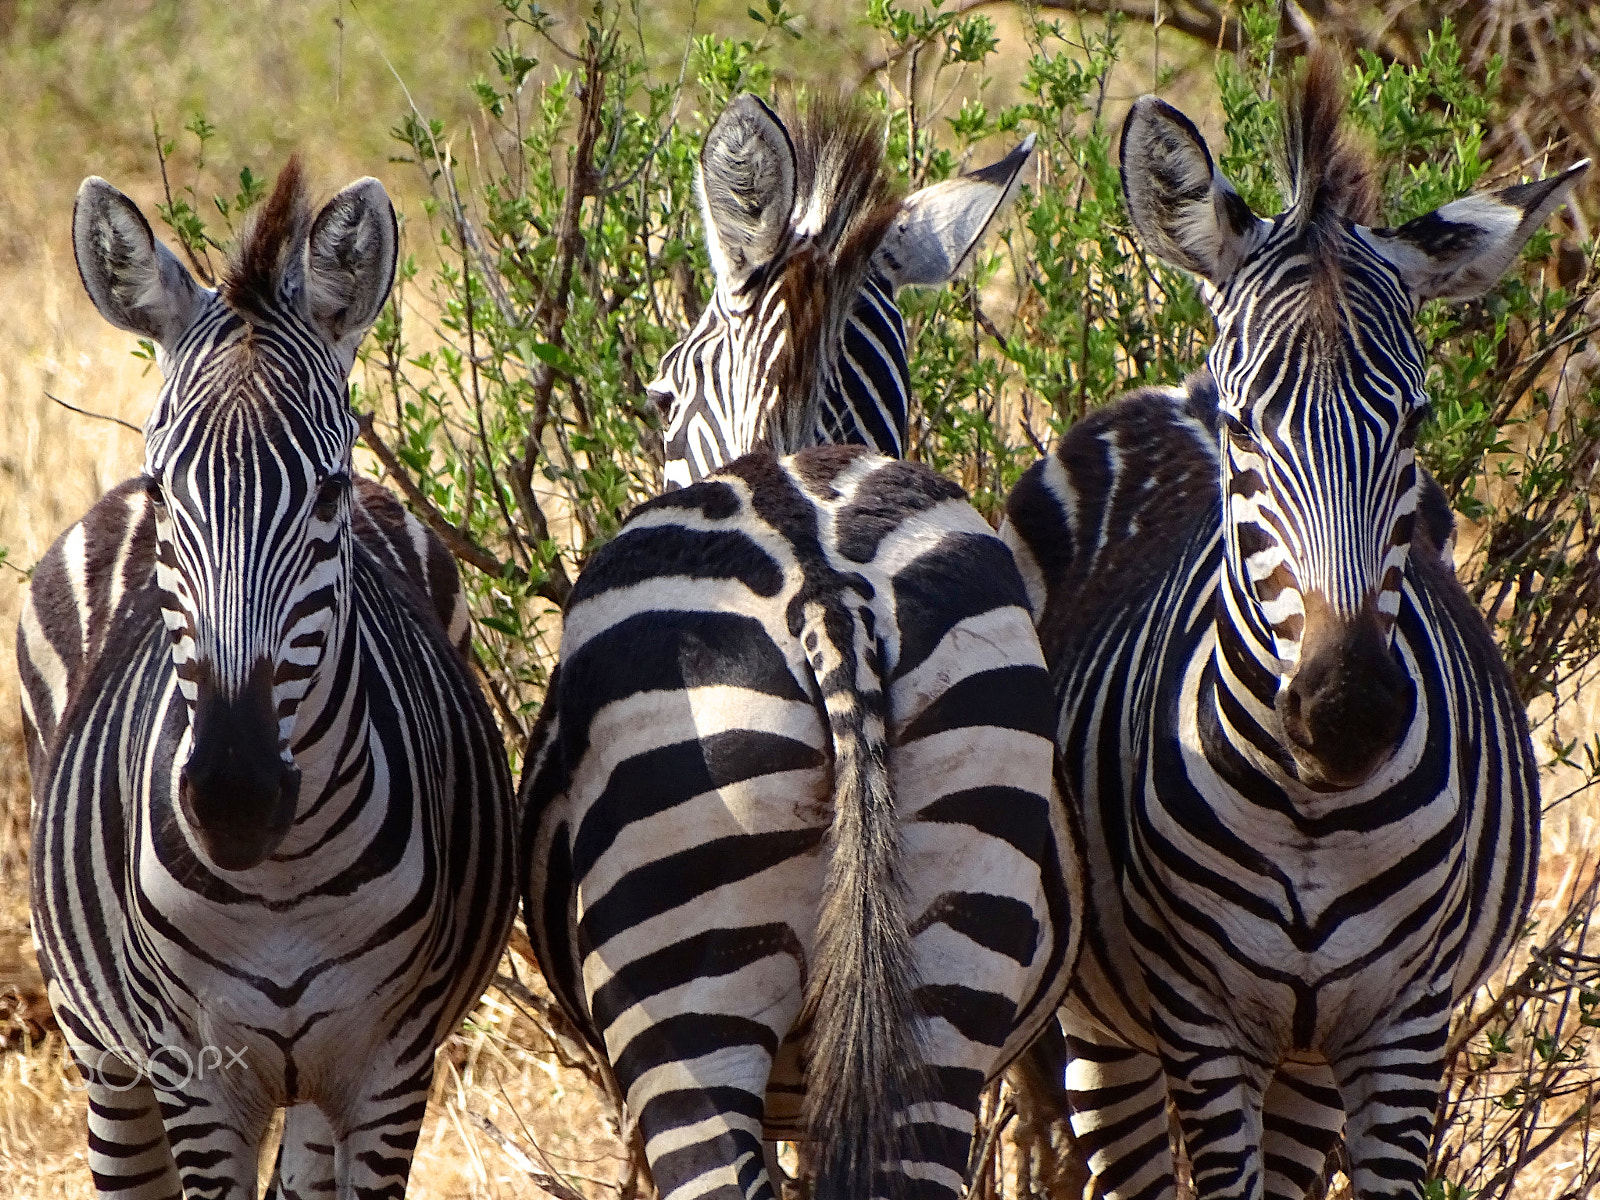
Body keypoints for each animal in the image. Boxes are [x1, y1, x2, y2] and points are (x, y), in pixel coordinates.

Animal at [20, 157, 518, 1196]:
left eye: (327, 491)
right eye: (166, 489)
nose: (234, 796)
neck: (282, 882)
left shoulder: (392, 1072)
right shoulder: (195, 1077)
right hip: (103, 1052)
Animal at [998, 49, 1587, 1200]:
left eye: (1415, 422)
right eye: (1244, 427)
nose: (1347, 713)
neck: (1315, 809)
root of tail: (1167, 386)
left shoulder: (1405, 1028)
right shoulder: (1201, 1023)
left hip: (1309, 1056)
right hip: (1106, 1024)